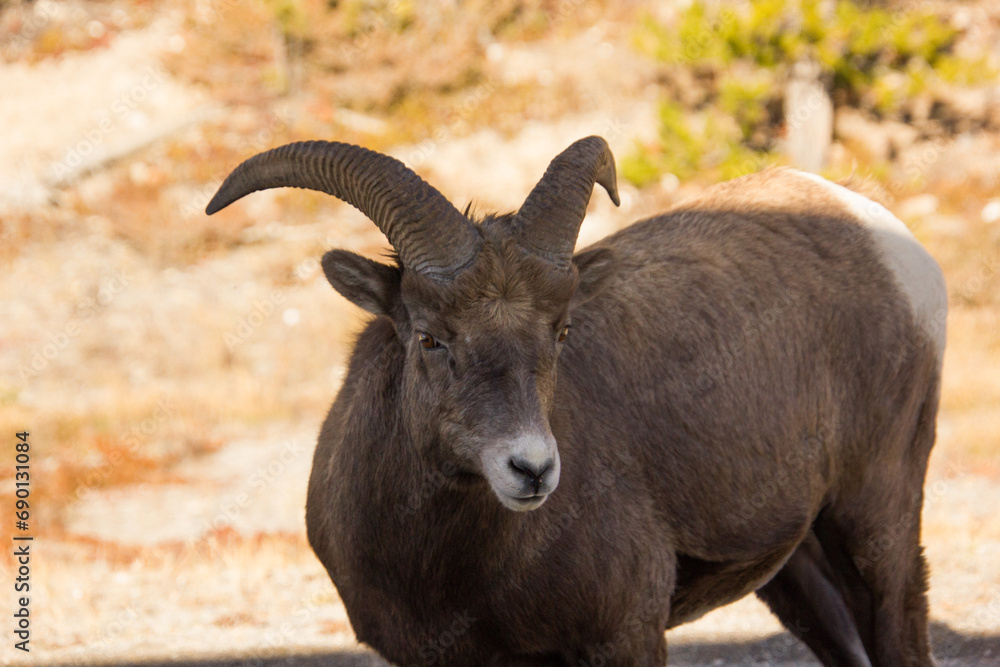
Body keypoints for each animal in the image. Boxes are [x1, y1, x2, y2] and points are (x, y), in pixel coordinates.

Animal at [206, 136, 947, 666]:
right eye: (430, 337)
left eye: (560, 330)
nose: (531, 470)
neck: (447, 570)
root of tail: (871, 221)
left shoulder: (624, 637)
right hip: (796, 565)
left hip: (877, 519)